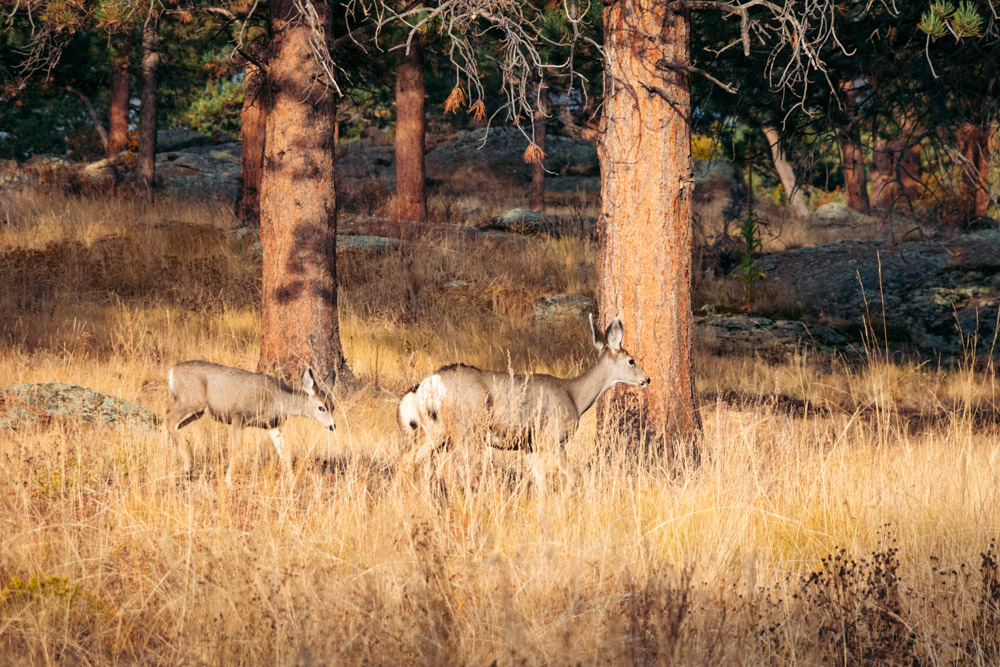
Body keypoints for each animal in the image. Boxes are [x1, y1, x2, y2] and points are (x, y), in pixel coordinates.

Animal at [165, 360, 336, 486]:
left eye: (333, 406)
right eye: (321, 407)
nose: (332, 426)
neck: (276, 398)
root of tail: (172, 371)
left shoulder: (273, 424)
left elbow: (283, 450)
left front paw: (292, 479)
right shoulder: (239, 416)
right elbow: (236, 447)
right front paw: (228, 480)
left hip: (196, 411)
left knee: (170, 423)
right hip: (191, 401)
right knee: (169, 420)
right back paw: (187, 466)